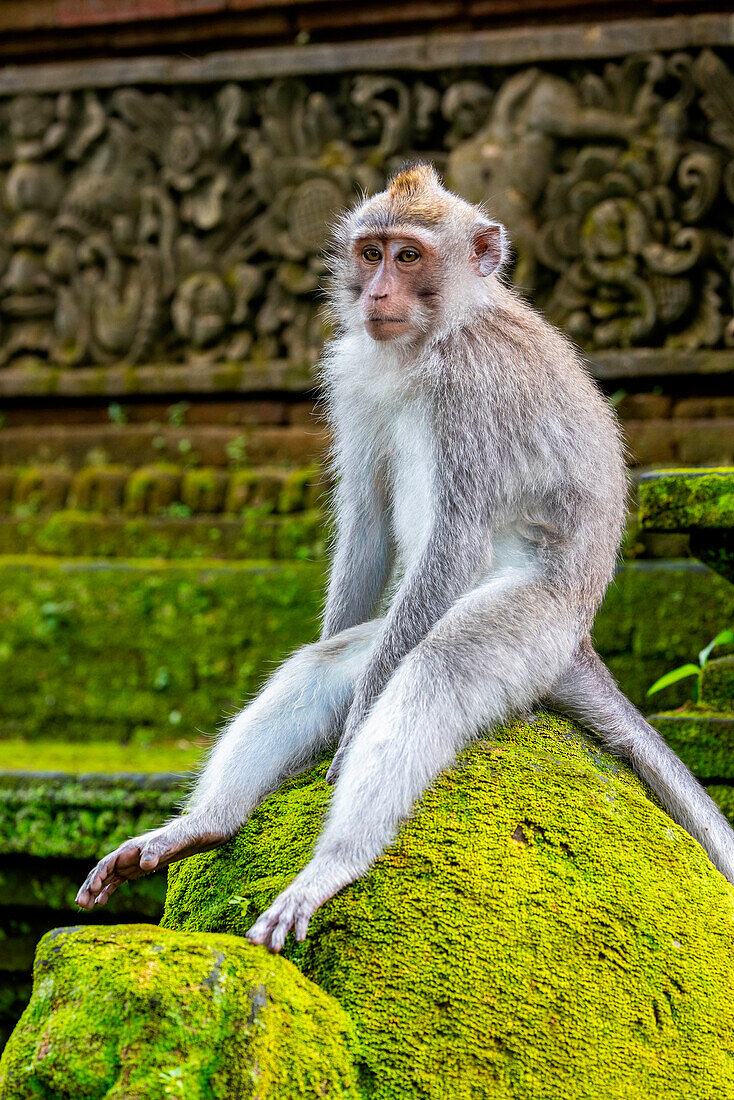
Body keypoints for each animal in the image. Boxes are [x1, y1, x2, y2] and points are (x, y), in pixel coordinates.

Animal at [77, 165, 734, 954]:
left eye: (410, 256)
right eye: (372, 253)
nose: (378, 293)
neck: (433, 338)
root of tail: (579, 640)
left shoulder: (472, 386)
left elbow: (455, 539)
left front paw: (353, 736)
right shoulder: (355, 368)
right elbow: (366, 524)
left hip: (531, 626)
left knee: (436, 668)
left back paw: (333, 863)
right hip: (431, 625)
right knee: (339, 660)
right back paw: (203, 825)